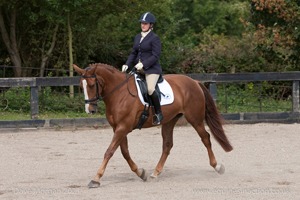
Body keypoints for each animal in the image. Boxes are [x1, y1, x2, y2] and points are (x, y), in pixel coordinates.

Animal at [72, 63, 232, 188]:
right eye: (81, 86)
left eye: (92, 85)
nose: (90, 110)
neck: (119, 93)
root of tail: (194, 81)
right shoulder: (118, 128)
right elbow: (124, 152)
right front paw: (141, 173)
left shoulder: (122, 128)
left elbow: (109, 151)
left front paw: (96, 179)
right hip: (169, 121)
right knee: (167, 145)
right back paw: (155, 173)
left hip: (195, 119)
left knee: (205, 138)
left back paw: (217, 166)